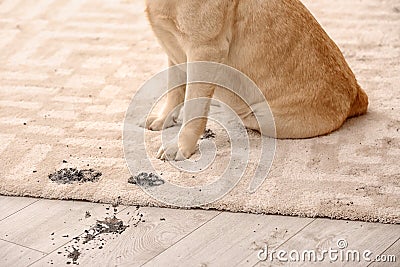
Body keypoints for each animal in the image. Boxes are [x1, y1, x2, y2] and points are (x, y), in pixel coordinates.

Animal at [144, 0, 368, 161]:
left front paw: (181, 146)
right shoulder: (174, 51)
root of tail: (356, 94)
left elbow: (194, 107)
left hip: (261, 116)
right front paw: (164, 119)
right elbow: (175, 90)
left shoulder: (204, 51)